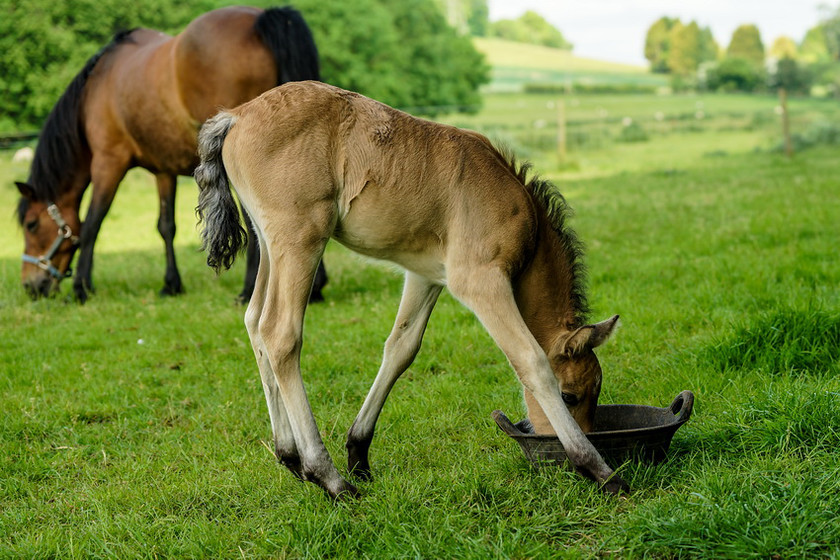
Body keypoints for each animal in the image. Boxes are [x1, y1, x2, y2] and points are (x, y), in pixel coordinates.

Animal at [17, 5, 324, 302]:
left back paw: (249, 290)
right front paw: (171, 284)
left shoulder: (108, 162)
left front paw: (80, 288)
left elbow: (92, 223)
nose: (31, 286)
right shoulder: (163, 170)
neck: (97, 86)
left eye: (31, 225)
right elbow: (166, 226)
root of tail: (261, 19)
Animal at [192, 80, 624, 498]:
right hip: (302, 239)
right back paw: (328, 477)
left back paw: (290, 456)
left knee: (254, 322)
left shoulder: (425, 277)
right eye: (570, 396)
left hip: (269, 244)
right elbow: (531, 360)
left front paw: (359, 452)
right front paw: (599, 469)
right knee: (279, 334)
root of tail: (236, 115)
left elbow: (400, 349)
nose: (566, 451)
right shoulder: (481, 280)